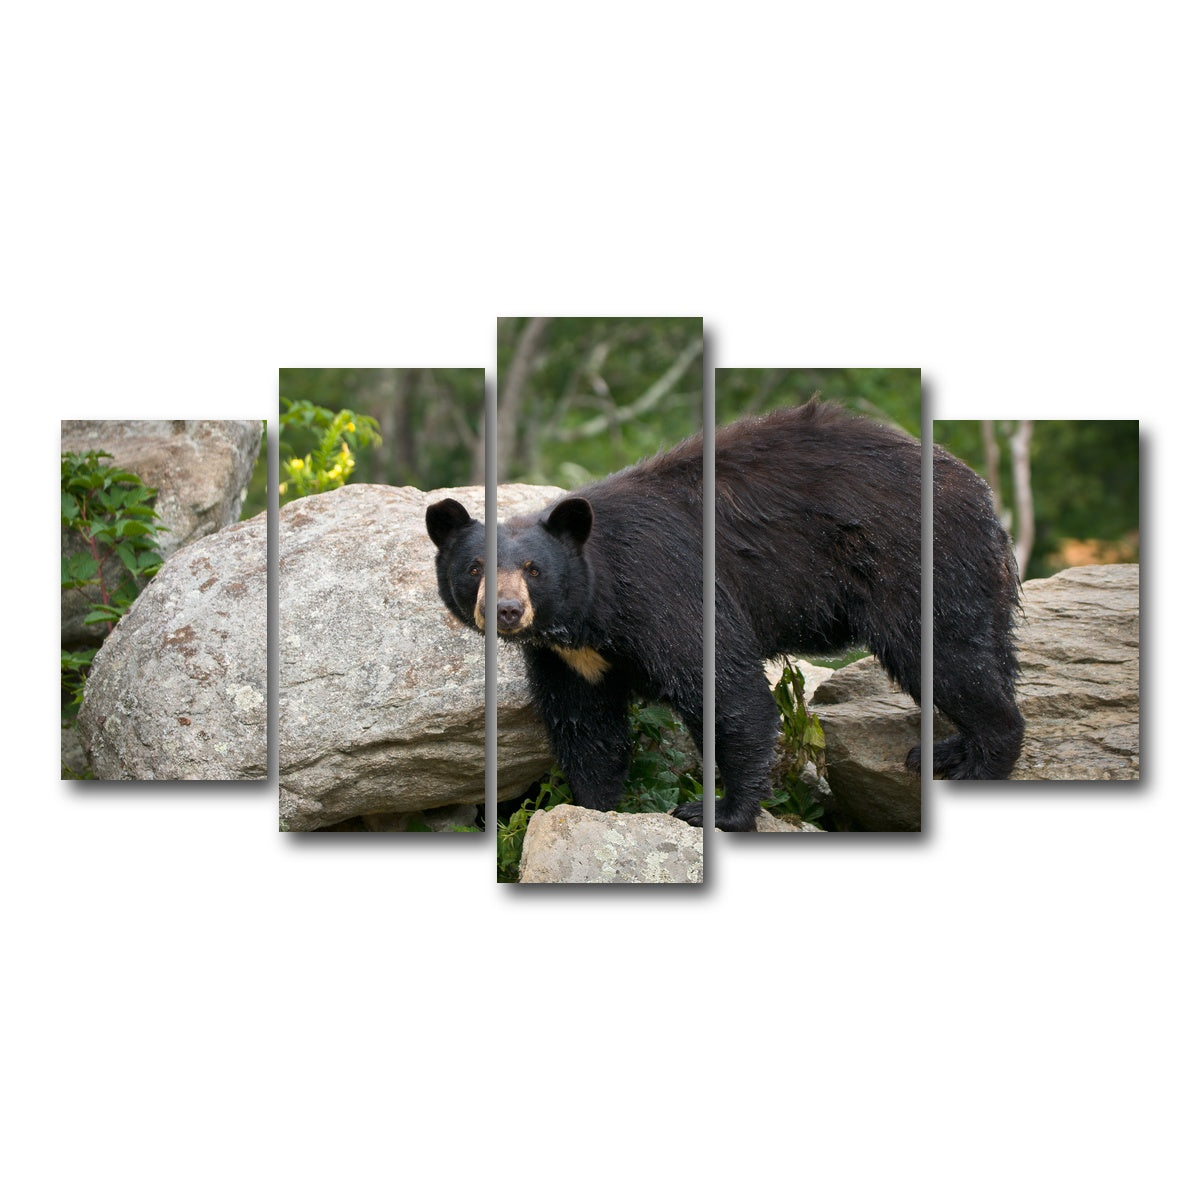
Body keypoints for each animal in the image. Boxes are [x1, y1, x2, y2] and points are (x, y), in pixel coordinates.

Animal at [425, 399, 1024, 833]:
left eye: (533, 568)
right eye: (475, 566)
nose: (505, 611)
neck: (593, 611)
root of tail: (982, 494)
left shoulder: (664, 589)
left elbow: (726, 690)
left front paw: (718, 811)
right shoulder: (569, 657)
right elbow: (587, 727)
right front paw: (592, 806)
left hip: (913, 562)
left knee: (944, 655)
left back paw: (981, 763)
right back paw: (948, 749)